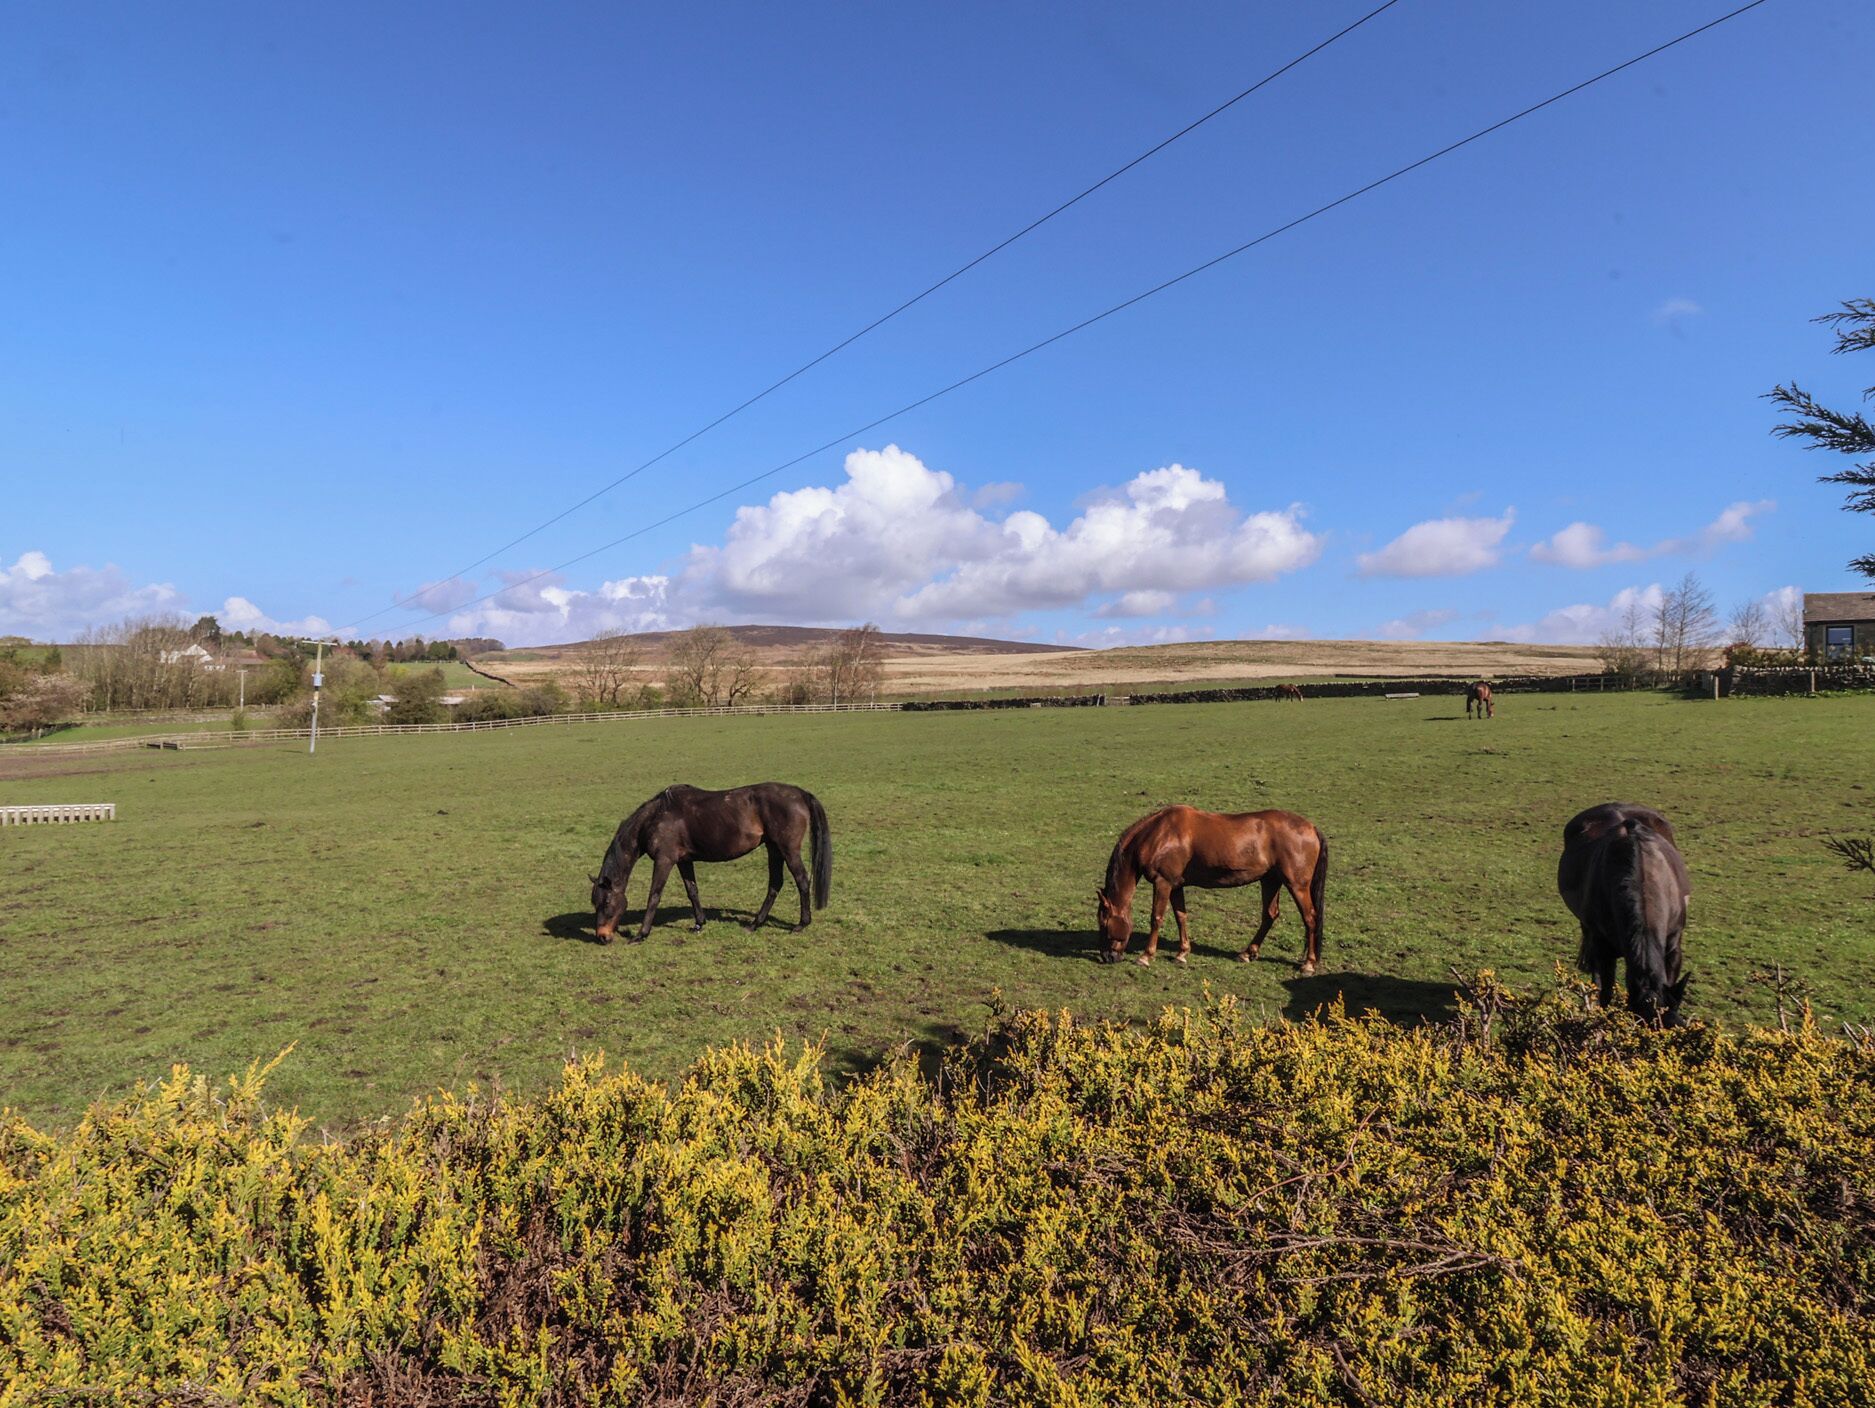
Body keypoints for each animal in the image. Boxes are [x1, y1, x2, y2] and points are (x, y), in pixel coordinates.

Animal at [590, 783, 830, 943]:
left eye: (606, 902)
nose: (602, 936)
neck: (656, 816)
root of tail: (801, 794)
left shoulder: (664, 860)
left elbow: (654, 896)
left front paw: (641, 934)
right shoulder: (684, 861)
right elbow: (692, 891)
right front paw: (699, 924)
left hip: (788, 849)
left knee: (801, 881)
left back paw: (801, 924)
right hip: (773, 848)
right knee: (775, 884)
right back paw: (755, 924)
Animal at [1096, 806, 1327, 971]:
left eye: (1104, 923)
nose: (1107, 957)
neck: (1159, 833)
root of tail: (1311, 828)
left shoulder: (1163, 883)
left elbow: (1157, 918)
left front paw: (1145, 956)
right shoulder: (1175, 885)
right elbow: (1181, 917)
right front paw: (1182, 953)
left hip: (1297, 885)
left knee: (1310, 918)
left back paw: (1308, 964)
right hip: (1270, 881)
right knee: (1269, 915)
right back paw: (1247, 953)